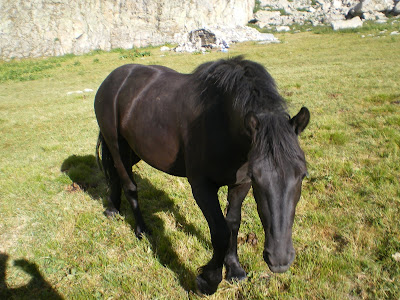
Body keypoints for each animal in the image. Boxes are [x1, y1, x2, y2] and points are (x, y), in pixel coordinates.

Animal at [95, 55, 310, 294]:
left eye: (302, 174)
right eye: (258, 176)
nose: (279, 260)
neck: (222, 122)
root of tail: (115, 77)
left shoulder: (240, 184)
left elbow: (233, 223)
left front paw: (234, 269)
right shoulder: (202, 187)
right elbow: (220, 232)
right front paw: (208, 279)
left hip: (134, 150)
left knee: (114, 173)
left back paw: (113, 208)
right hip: (117, 146)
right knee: (129, 185)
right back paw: (142, 230)